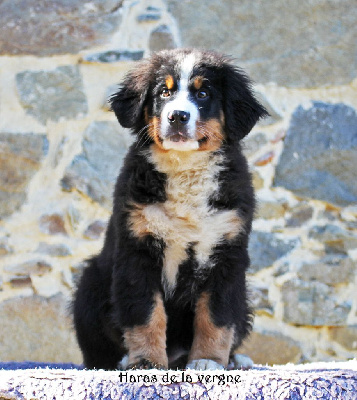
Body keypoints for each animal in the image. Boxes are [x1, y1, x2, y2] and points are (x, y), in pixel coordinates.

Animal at [73, 47, 268, 372]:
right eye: (164, 92)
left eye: (203, 93)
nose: (177, 116)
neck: (184, 168)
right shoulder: (138, 250)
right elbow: (146, 314)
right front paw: (147, 362)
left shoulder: (226, 253)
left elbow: (216, 316)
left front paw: (207, 361)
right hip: (90, 286)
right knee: (96, 348)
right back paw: (119, 361)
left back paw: (236, 360)